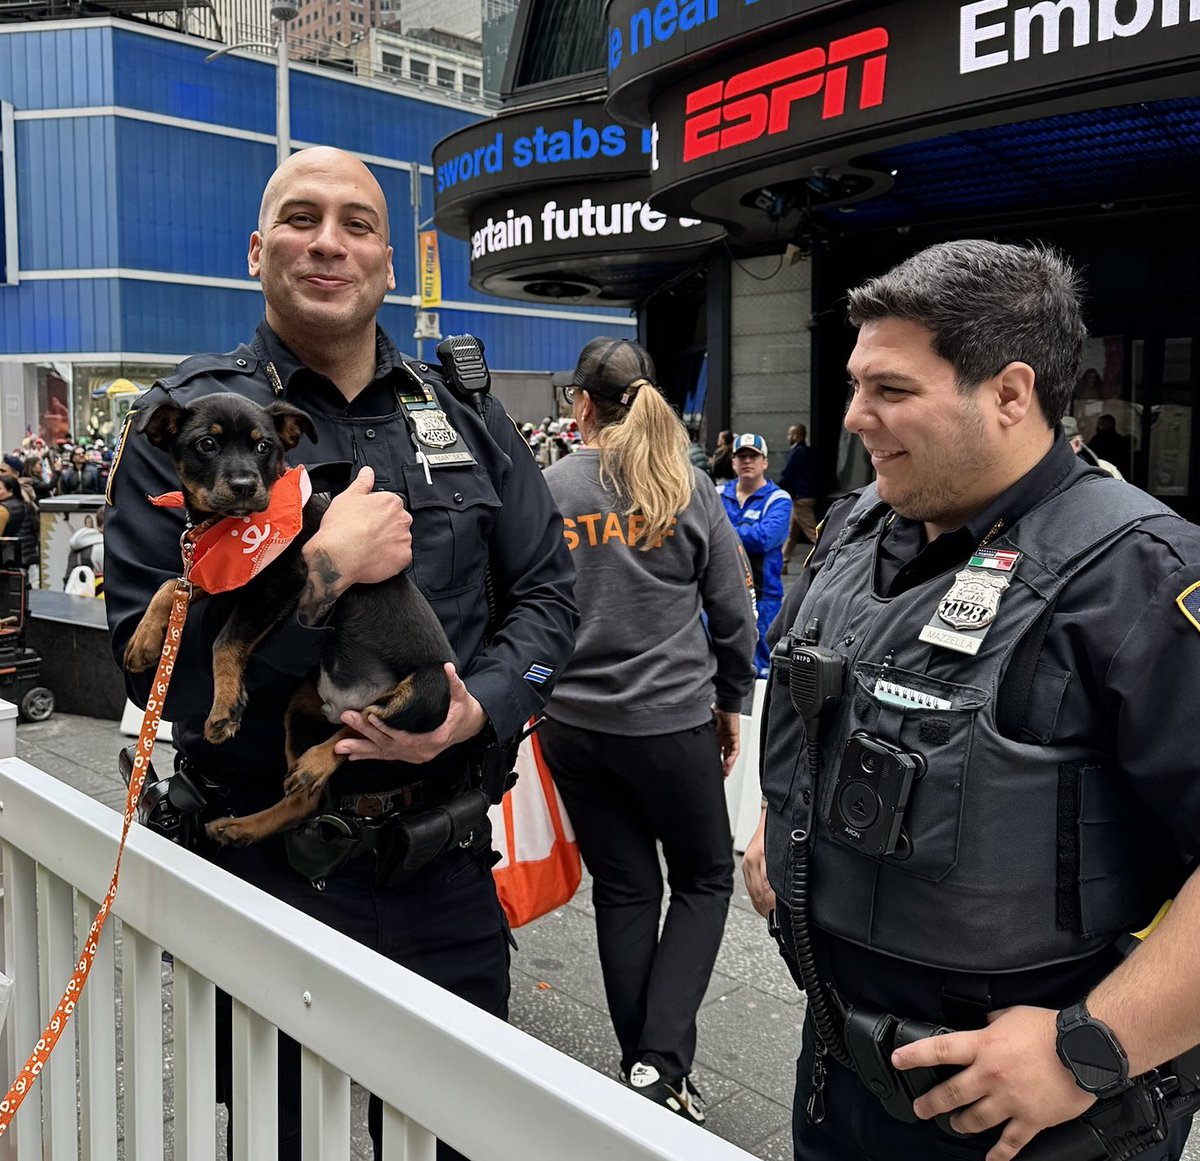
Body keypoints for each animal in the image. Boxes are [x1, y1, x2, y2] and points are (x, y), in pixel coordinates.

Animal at [124, 390, 456, 844]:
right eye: (206, 445)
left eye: (264, 446)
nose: (245, 486)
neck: (232, 527)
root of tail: (348, 702)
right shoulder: (228, 578)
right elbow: (169, 586)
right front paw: (142, 642)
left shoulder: (281, 580)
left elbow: (223, 641)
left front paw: (224, 707)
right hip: (299, 708)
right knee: (309, 795)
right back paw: (242, 826)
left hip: (429, 691)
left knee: (362, 728)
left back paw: (315, 761)